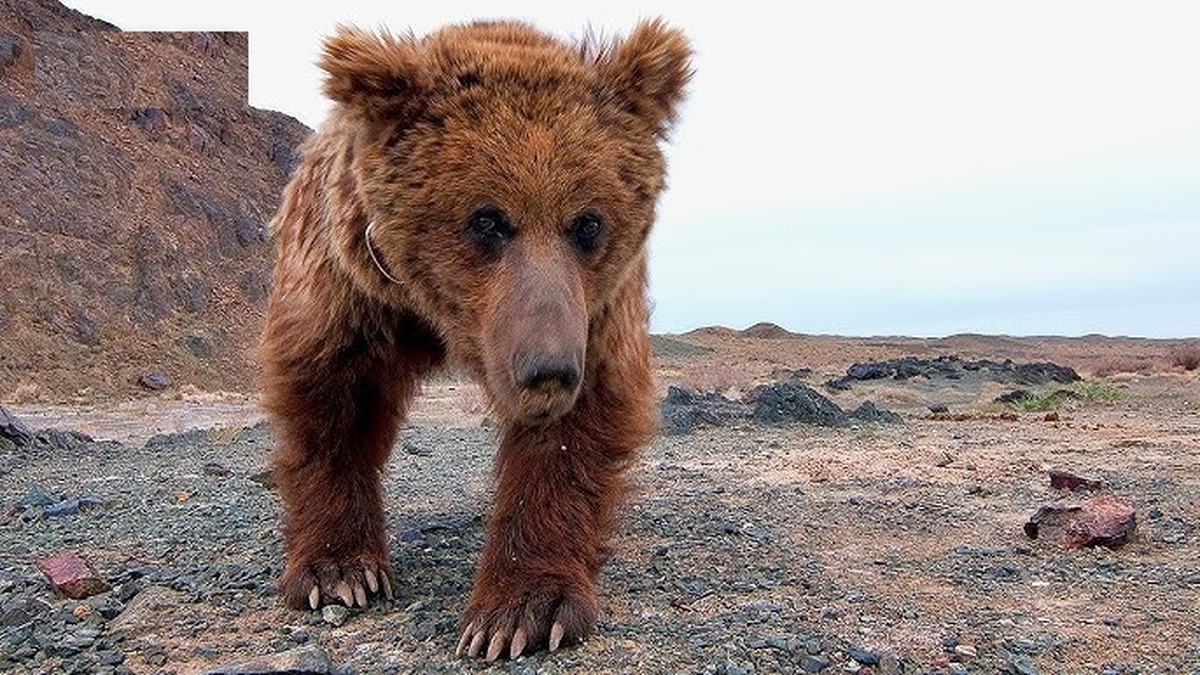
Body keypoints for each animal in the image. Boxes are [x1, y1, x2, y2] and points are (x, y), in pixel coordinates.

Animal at [262, 18, 696, 658]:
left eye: (588, 222)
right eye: (487, 219)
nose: (548, 369)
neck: (434, 314)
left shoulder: (595, 308)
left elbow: (579, 424)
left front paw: (518, 612)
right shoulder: (346, 281)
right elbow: (330, 399)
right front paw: (339, 571)